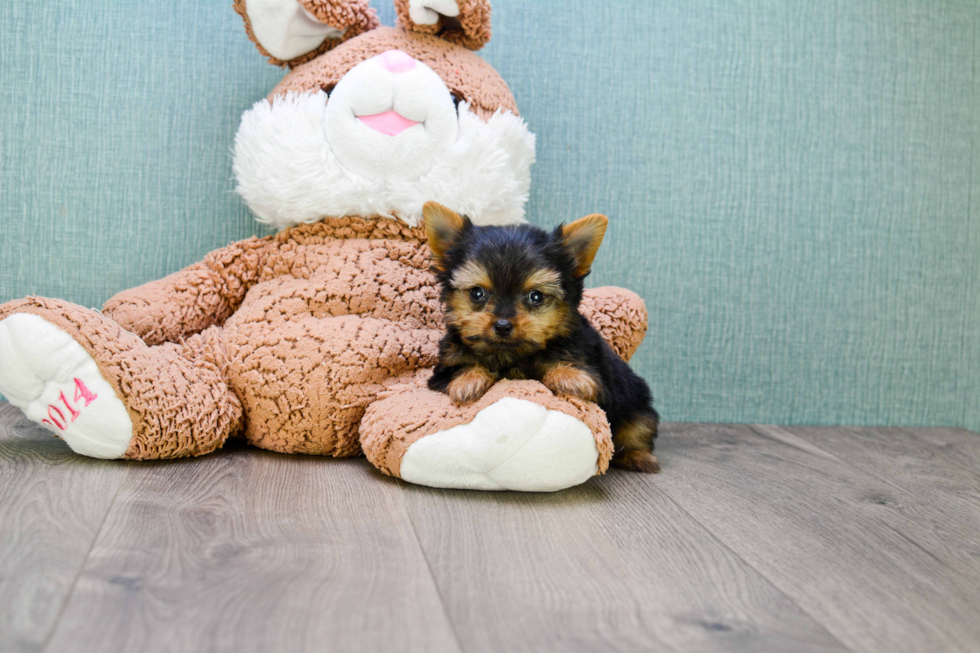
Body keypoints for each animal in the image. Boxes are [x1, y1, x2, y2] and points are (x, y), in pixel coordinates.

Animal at [424, 201, 664, 472]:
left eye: (536, 297)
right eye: (477, 293)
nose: (503, 325)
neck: (510, 355)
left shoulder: (595, 373)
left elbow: (561, 369)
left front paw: (570, 377)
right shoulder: (442, 370)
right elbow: (460, 369)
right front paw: (469, 380)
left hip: (636, 404)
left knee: (636, 430)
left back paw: (638, 456)